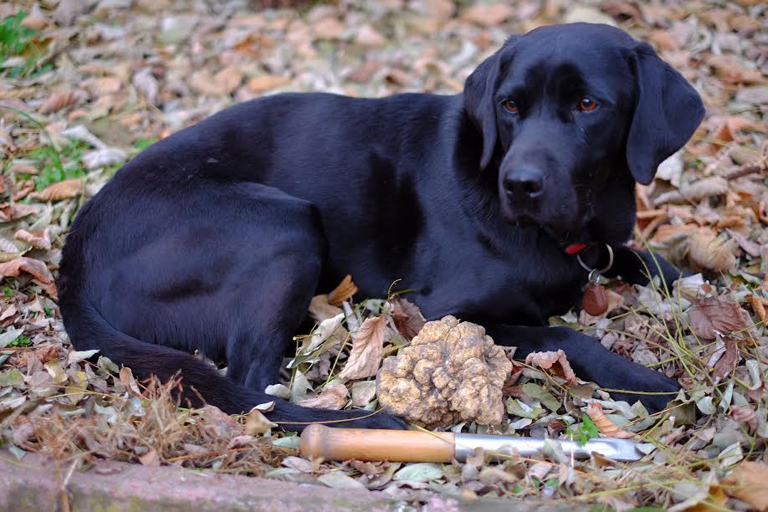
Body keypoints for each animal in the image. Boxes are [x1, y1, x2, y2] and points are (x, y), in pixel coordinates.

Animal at [57, 25, 704, 432]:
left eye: (589, 105)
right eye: (510, 105)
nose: (518, 184)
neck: (563, 232)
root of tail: (73, 263)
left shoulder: (601, 247)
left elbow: (644, 259)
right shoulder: (440, 310)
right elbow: (565, 334)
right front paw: (645, 381)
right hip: (282, 224)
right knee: (253, 389)